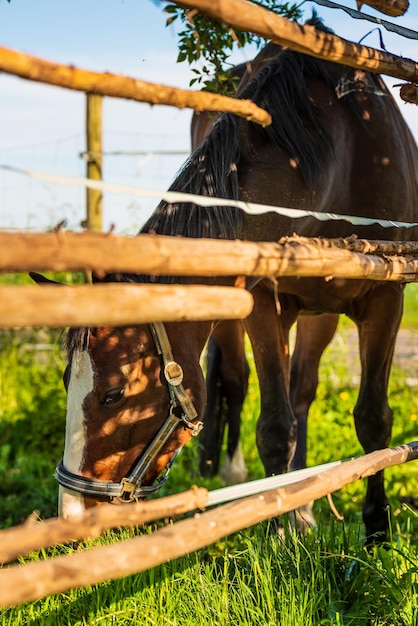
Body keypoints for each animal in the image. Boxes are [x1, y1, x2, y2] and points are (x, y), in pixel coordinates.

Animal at [46, 17, 418, 540]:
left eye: (113, 394)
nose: (73, 514)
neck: (340, 159)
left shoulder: (387, 297)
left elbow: (373, 421)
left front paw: (377, 531)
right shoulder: (260, 300)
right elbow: (275, 425)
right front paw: (281, 530)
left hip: (321, 312)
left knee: (303, 388)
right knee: (244, 381)